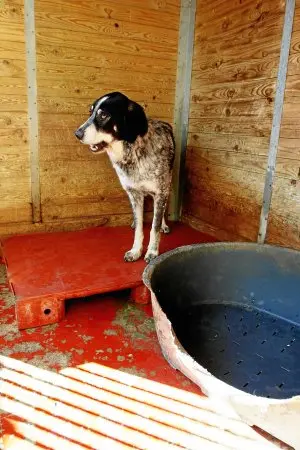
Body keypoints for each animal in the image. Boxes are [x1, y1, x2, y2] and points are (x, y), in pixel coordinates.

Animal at [73, 92, 175, 264]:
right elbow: (139, 228)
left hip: (168, 184)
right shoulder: (133, 193)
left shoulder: (160, 192)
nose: (77, 134)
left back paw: (163, 224)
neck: (133, 153)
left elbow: (154, 227)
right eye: (90, 112)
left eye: (104, 115)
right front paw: (136, 251)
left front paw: (152, 252)